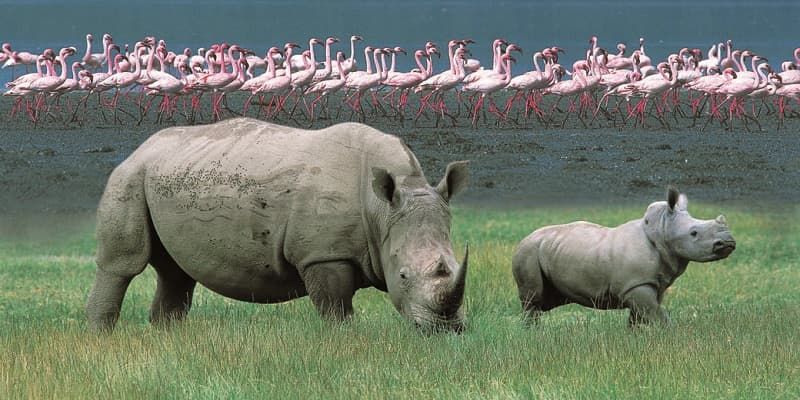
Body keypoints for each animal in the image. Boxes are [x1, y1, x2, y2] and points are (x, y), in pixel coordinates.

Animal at [87, 118, 470, 333]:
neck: (383, 210)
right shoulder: (323, 254)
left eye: (454, 265)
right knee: (123, 265)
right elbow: (336, 309)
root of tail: (141, 147)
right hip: (129, 176)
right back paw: (100, 338)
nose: (445, 330)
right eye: (402, 275)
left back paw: (167, 339)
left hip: (168, 176)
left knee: (176, 273)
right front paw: (345, 342)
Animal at [512, 188, 736, 326]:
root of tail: (524, 238)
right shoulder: (635, 284)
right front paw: (672, 336)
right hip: (528, 251)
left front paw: (634, 339)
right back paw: (533, 334)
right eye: (694, 233)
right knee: (533, 299)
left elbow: (641, 316)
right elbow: (656, 314)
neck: (661, 229)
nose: (728, 242)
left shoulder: (646, 284)